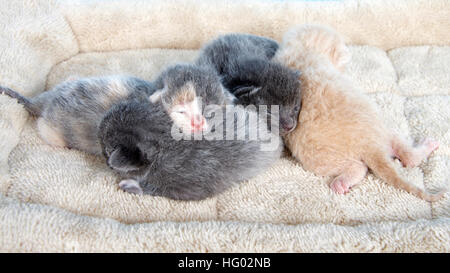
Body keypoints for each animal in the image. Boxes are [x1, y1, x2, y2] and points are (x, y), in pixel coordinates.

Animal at [276, 23, 444, 201]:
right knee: (362, 167)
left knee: (406, 157)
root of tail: (370, 146)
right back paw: (342, 182)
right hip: (322, 155)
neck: (304, 49)